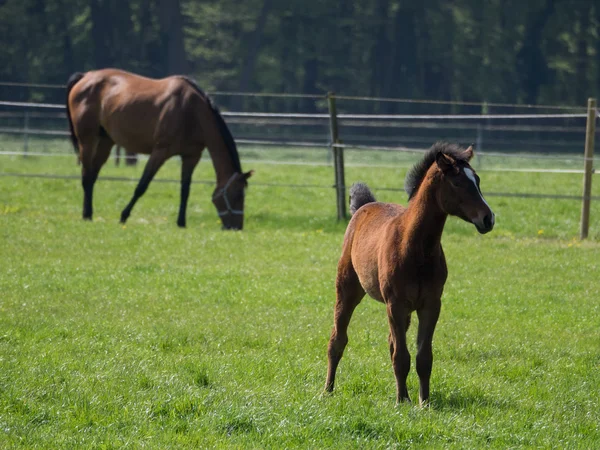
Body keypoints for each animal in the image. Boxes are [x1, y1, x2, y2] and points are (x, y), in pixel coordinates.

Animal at [64, 68, 252, 230]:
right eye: (237, 194)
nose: (236, 227)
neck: (191, 112)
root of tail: (85, 76)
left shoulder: (191, 157)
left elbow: (185, 190)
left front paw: (181, 222)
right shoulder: (160, 152)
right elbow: (142, 185)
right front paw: (124, 216)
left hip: (105, 142)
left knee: (92, 176)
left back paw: (88, 213)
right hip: (87, 140)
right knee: (86, 176)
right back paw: (87, 215)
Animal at [326, 142, 494, 406]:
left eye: (477, 180)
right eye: (457, 183)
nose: (488, 218)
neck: (416, 247)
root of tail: (364, 206)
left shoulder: (431, 304)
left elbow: (423, 356)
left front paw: (424, 401)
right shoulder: (395, 304)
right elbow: (402, 356)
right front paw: (402, 400)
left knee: (390, 342)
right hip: (347, 290)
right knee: (338, 340)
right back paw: (328, 390)